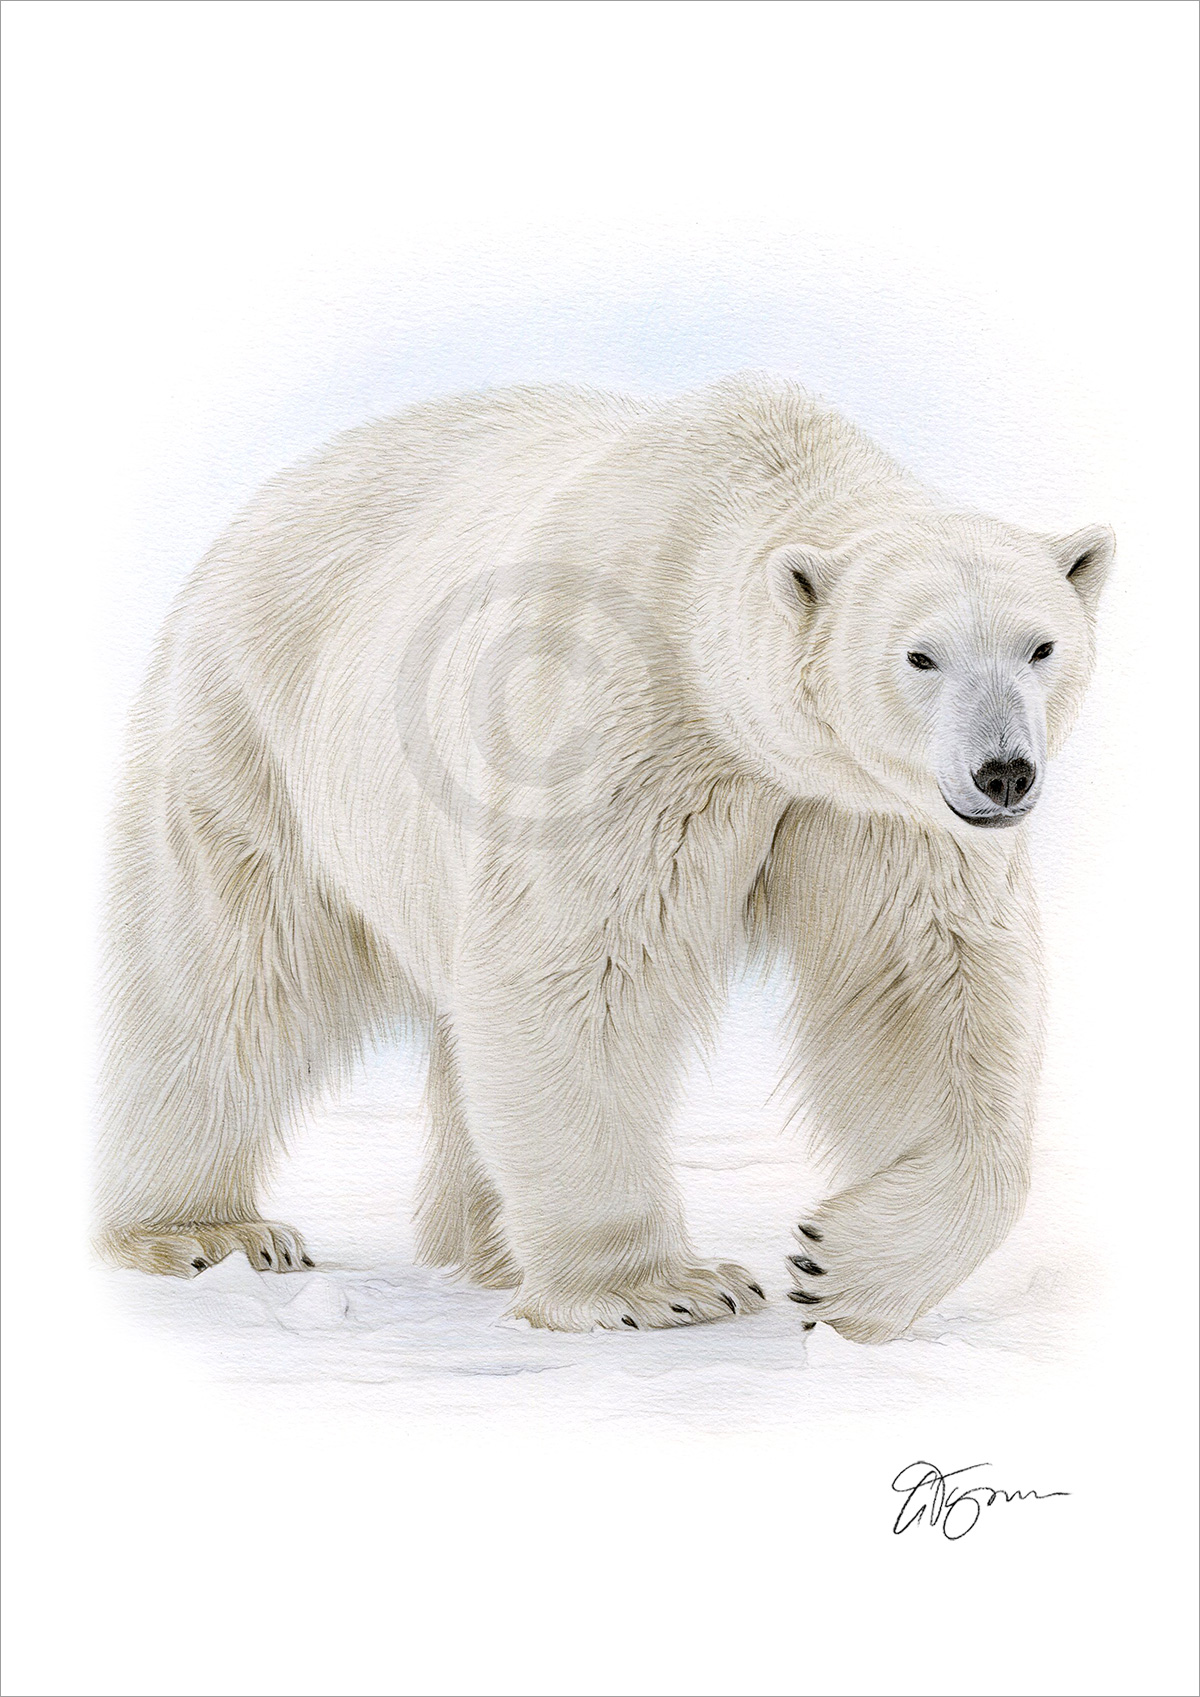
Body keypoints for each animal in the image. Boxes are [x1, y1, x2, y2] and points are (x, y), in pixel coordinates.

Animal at [95, 377, 1113, 1341]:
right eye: (918, 656)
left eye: (1041, 645)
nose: (1004, 771)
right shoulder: (618, 730)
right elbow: (583, 971)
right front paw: (661, 1289)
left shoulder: (874, 807)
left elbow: (928, 987)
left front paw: (843, 1269)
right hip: (251, 727)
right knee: (230, 972)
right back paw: (205, 1229)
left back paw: (485, 1244)